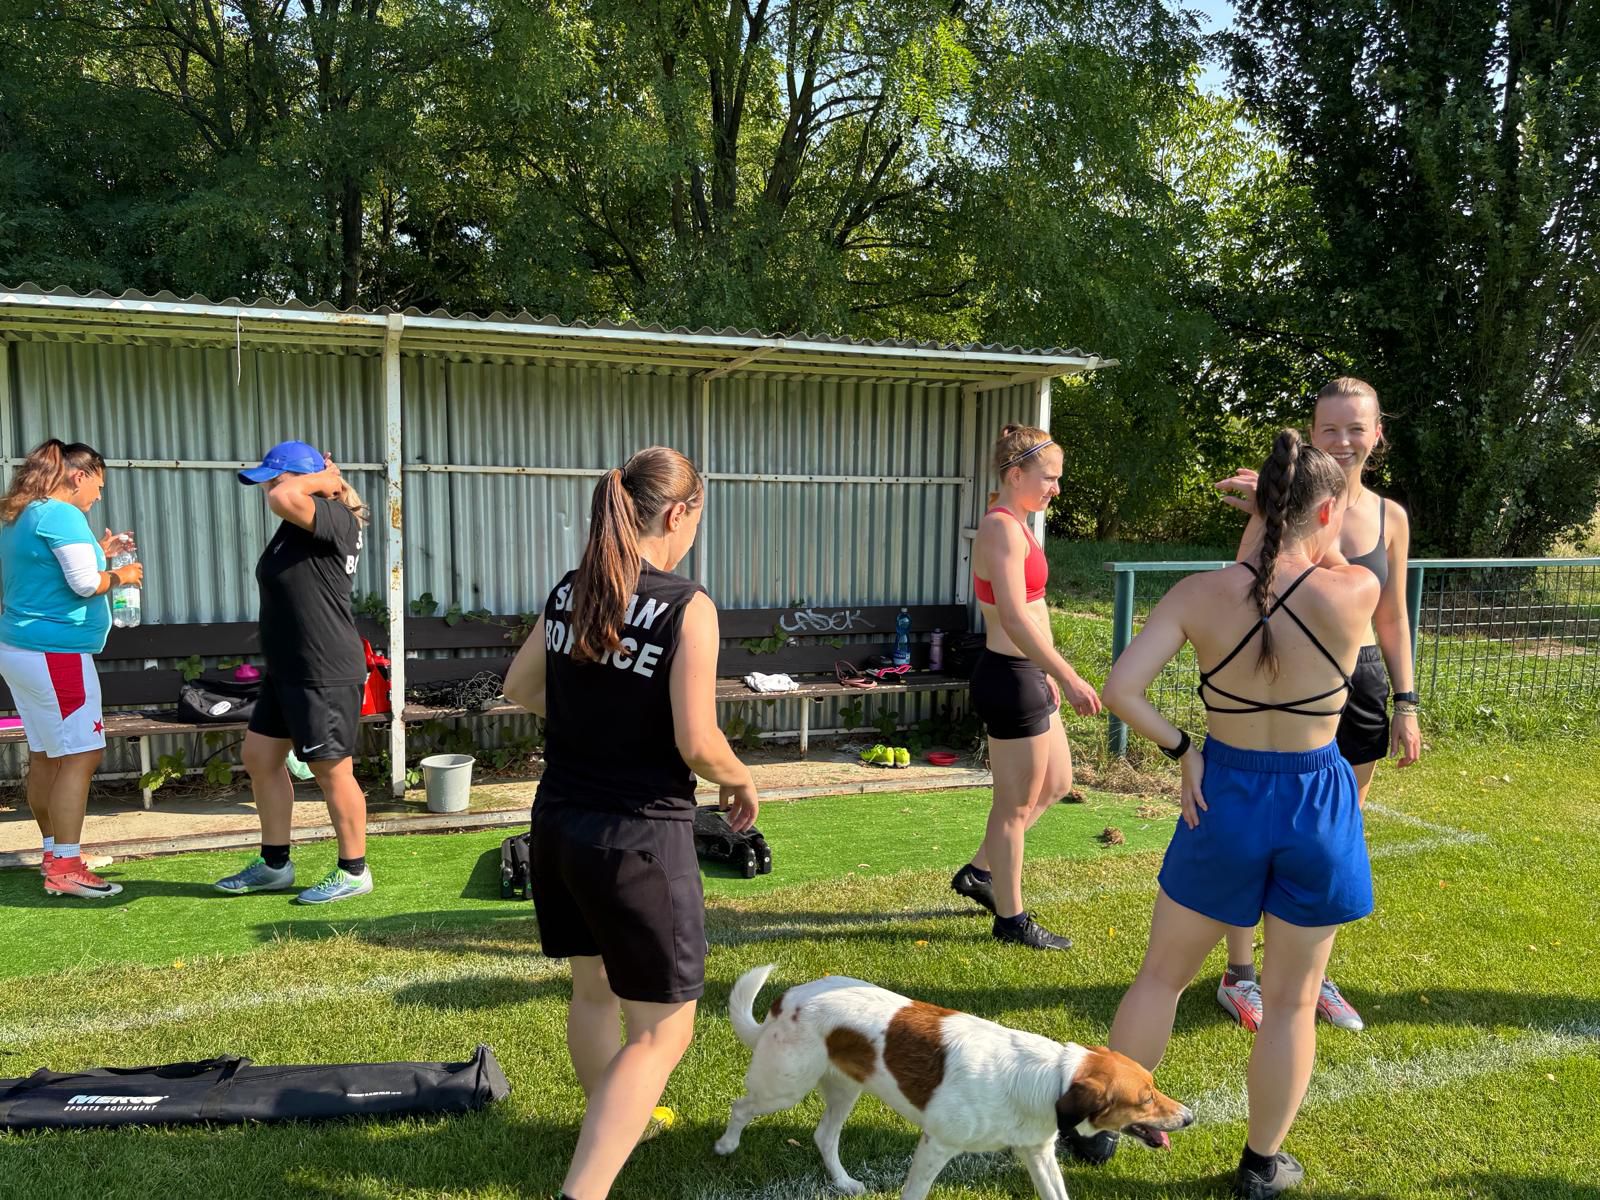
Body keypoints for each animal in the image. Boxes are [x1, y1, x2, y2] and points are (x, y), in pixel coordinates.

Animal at [715, 966, 1193, 1200]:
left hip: (846, 1087)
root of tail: (787, 998)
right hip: (784, 1086)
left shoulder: (1036, 1151)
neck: (1048, 1080)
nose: (1189, 1117)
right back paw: (726, 1145)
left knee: (824, 1136)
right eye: (1144, 1099)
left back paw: (845, 1183)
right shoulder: (937, 1144)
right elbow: (915, 1194)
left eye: (1153, 1088)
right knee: (742, 1107)